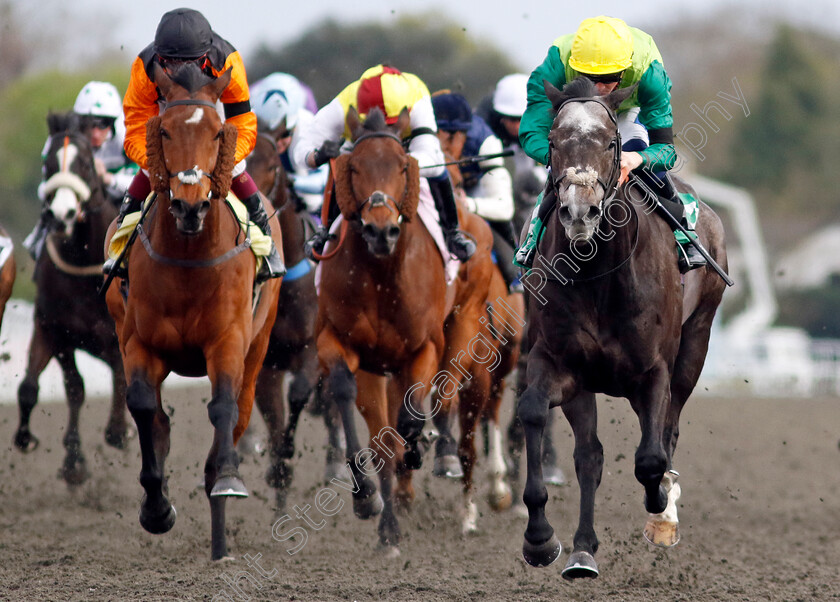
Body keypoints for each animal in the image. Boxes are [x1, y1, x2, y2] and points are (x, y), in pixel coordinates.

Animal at [13, 112, 129, 486]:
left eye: (85, 164)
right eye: (47, 163)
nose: (60, 214)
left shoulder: (119, 335)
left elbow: (121, 384)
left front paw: (120, 432)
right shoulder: (55, 329)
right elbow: (60, 388)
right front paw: (72, 462)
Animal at [104, 63, 282, 560]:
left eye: (218, 130)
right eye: (163, 129)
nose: (189, 204)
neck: (188, 257)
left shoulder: (228, 342)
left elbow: (222, 407)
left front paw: (226, 479)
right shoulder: (140, 343)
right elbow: (144, 407)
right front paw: (156, 508)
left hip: (259, 344)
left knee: (240, 411)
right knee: (158, 416)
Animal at [246, 130, 344, 506]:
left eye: (273, 166)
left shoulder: (312, 350)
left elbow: (300, 393)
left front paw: (287, 452)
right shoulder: (266, 363)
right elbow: (272, 413)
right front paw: (278, 471)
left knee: (330, 403)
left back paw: (336, 462)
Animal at [318, 105, 496, 552]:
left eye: (402, 166)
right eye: (354, 167)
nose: (381, 230)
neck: (383, 273)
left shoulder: (423, 348)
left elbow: (413, 413)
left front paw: (420, 446)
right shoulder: (344, 345)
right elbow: (371, 428)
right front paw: (372, 505)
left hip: (465, 323)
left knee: (453, 400)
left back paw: (454, 476)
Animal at [516, 77, 724, 576]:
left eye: (611, 143)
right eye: (554, 142)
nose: (579, 212)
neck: (597, 276)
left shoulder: (654, 371)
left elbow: (651, 458)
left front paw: (660, 508)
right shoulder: (559, 362)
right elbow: (534, 412)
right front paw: (540, 538)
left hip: (695, 345)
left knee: (668, 431)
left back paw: (663, 510)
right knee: (590, 456)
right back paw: (582, 550)